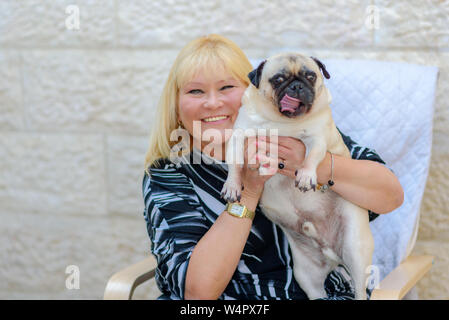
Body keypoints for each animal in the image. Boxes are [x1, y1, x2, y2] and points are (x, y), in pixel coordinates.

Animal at [220, 53, 372, 300]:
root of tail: (331, 256)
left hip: (356, 251)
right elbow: (234, 163)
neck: (283, 122)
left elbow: (311, 158)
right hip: (305, 276)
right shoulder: (239, 136)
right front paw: (232, 185)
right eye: (278, 79)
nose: (297, 85)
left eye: (310, 76)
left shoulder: (316, 139)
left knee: (360, 289)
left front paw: (306, 177)